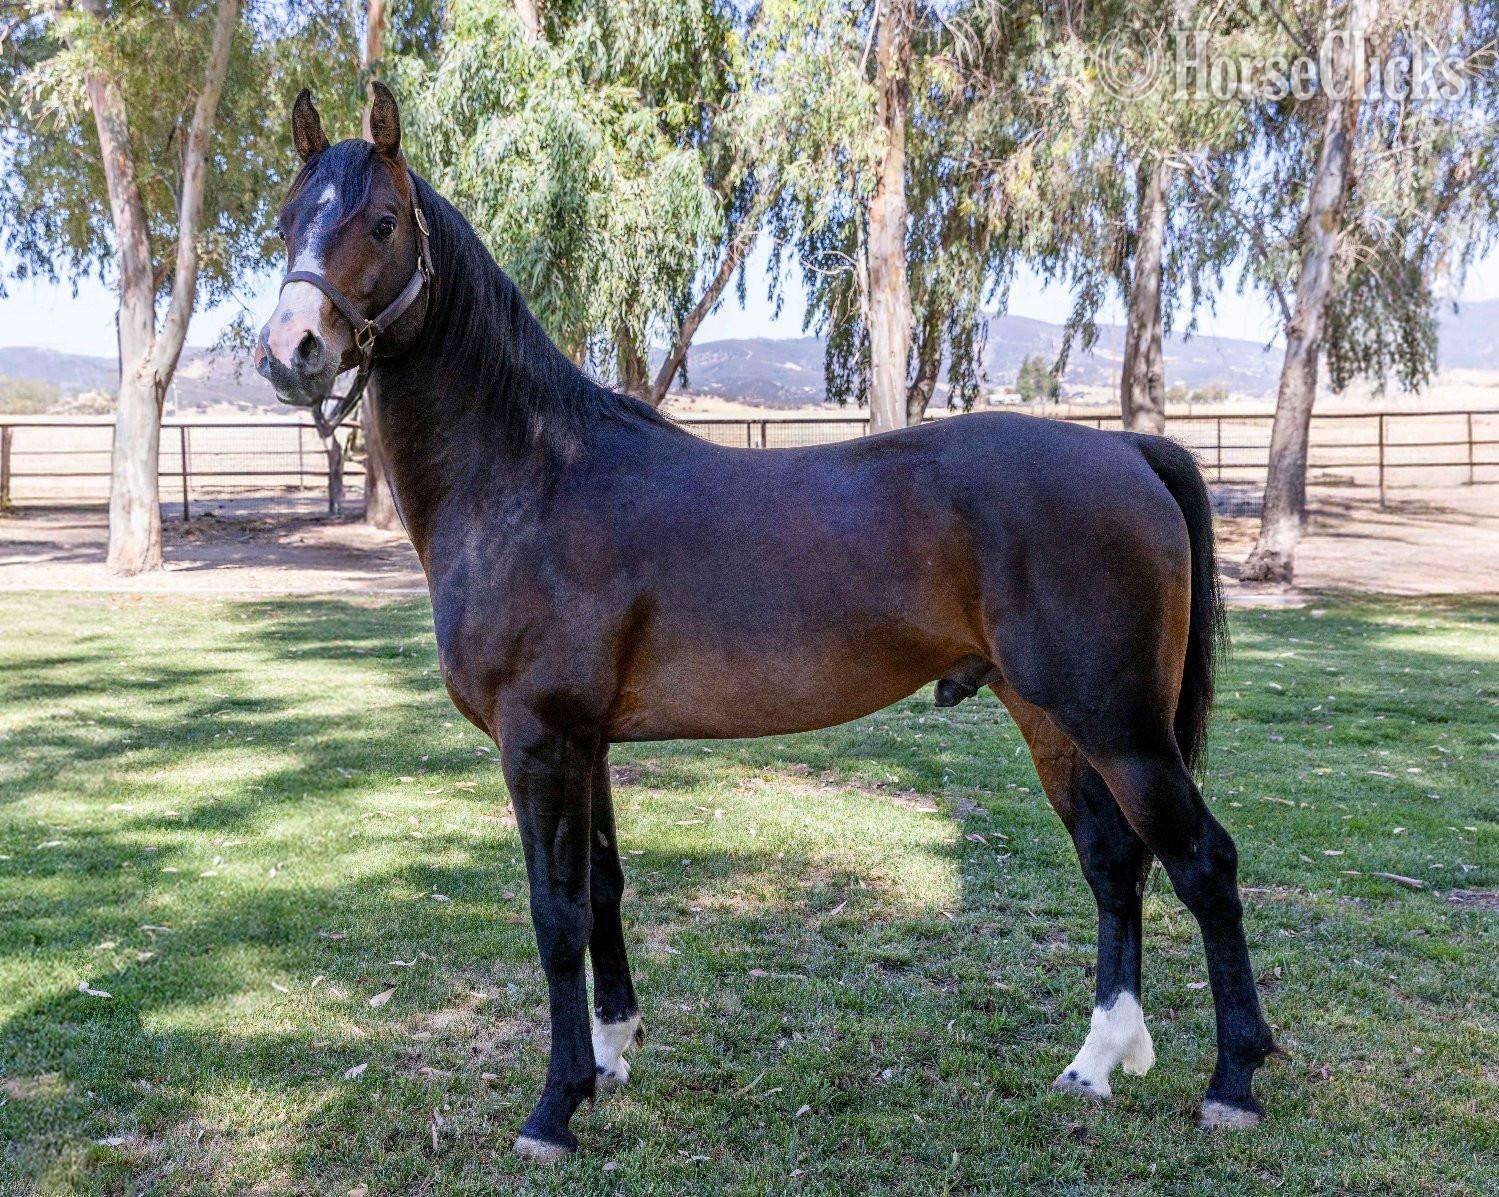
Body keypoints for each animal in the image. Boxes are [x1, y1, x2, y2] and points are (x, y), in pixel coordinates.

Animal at [256, 82, 1280, 1161]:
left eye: (381, 221)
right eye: (284, 220)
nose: (291, 352)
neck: (531, 478)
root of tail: (1127, 449)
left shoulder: (537, 741)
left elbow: (556, 914)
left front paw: (553, 1106)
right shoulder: (587, 744)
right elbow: (604, 892)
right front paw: (610, 1057)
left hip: (1120, 728)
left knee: (1202, 864)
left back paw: (1232, 1081)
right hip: (1051, 718)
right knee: (1113, 863)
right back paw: (1096, 1061)